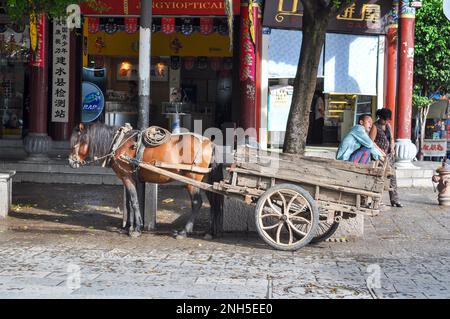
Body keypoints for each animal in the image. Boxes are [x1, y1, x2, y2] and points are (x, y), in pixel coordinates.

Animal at [68, 122, 223, 238]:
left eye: (75, 143)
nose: (70, 162)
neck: (119, 143)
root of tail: (209, 143)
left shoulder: (127, 177)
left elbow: (135, 202)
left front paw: (137, 229)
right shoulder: (129, 178)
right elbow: (129, 203)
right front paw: (128, 227)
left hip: (192, 178)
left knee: (197, 202)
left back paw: (184, 231)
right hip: (205, 180)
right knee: (213, 201)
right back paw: (210, 232)